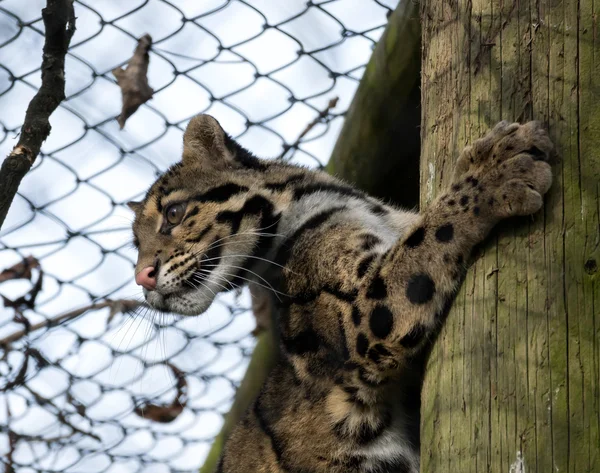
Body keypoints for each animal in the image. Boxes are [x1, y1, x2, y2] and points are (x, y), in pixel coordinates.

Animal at [130, 115, 552, 472]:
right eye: (136, 244)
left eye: (173, 214)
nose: (142, 278)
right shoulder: (363, 316)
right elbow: (426, 238)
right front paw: (496, 173)